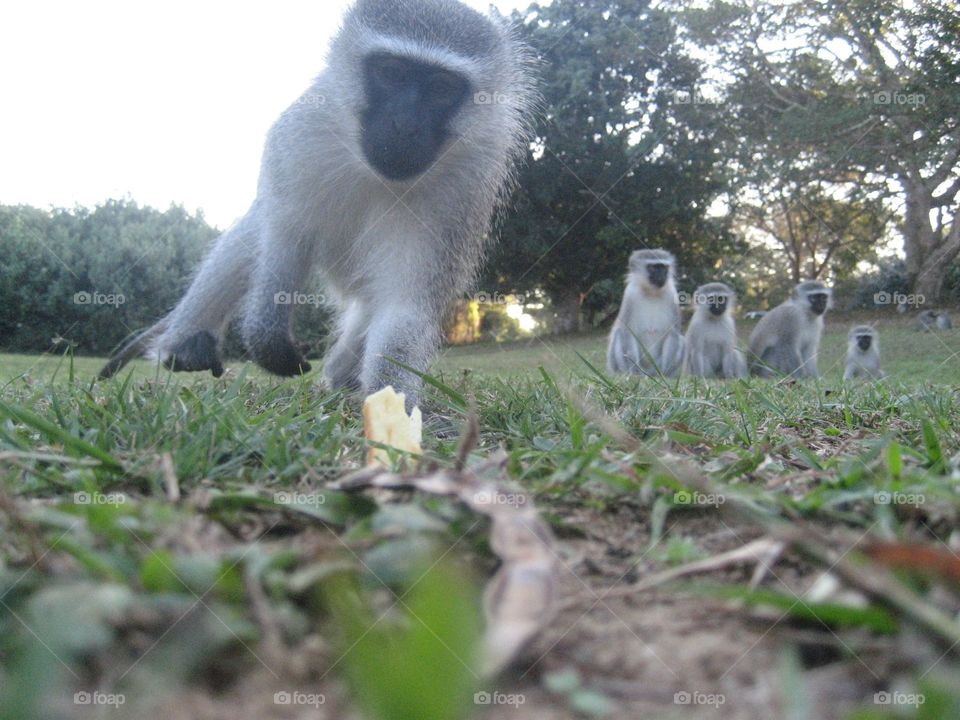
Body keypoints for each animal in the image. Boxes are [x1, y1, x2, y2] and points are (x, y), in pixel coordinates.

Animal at [99, 0, 536, 410]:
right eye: (391, 73)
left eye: (442, 88)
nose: (405, 126)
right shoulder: (302, 136)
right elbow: (285, 234)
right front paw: (266, 333)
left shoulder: (465, 187)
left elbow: (405, 305)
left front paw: (392, 407)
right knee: (253, 231)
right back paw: (185, 345)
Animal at [606, 249, 685, 377]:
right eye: (653, 267)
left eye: (664, 267)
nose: (662, 275)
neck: (651, 292)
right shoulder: (630, 295)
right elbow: (628, 332)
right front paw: (635, 372)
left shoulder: (672, 294)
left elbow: (673, 333)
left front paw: (663, 373)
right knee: (619, 333)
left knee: (681, 340)